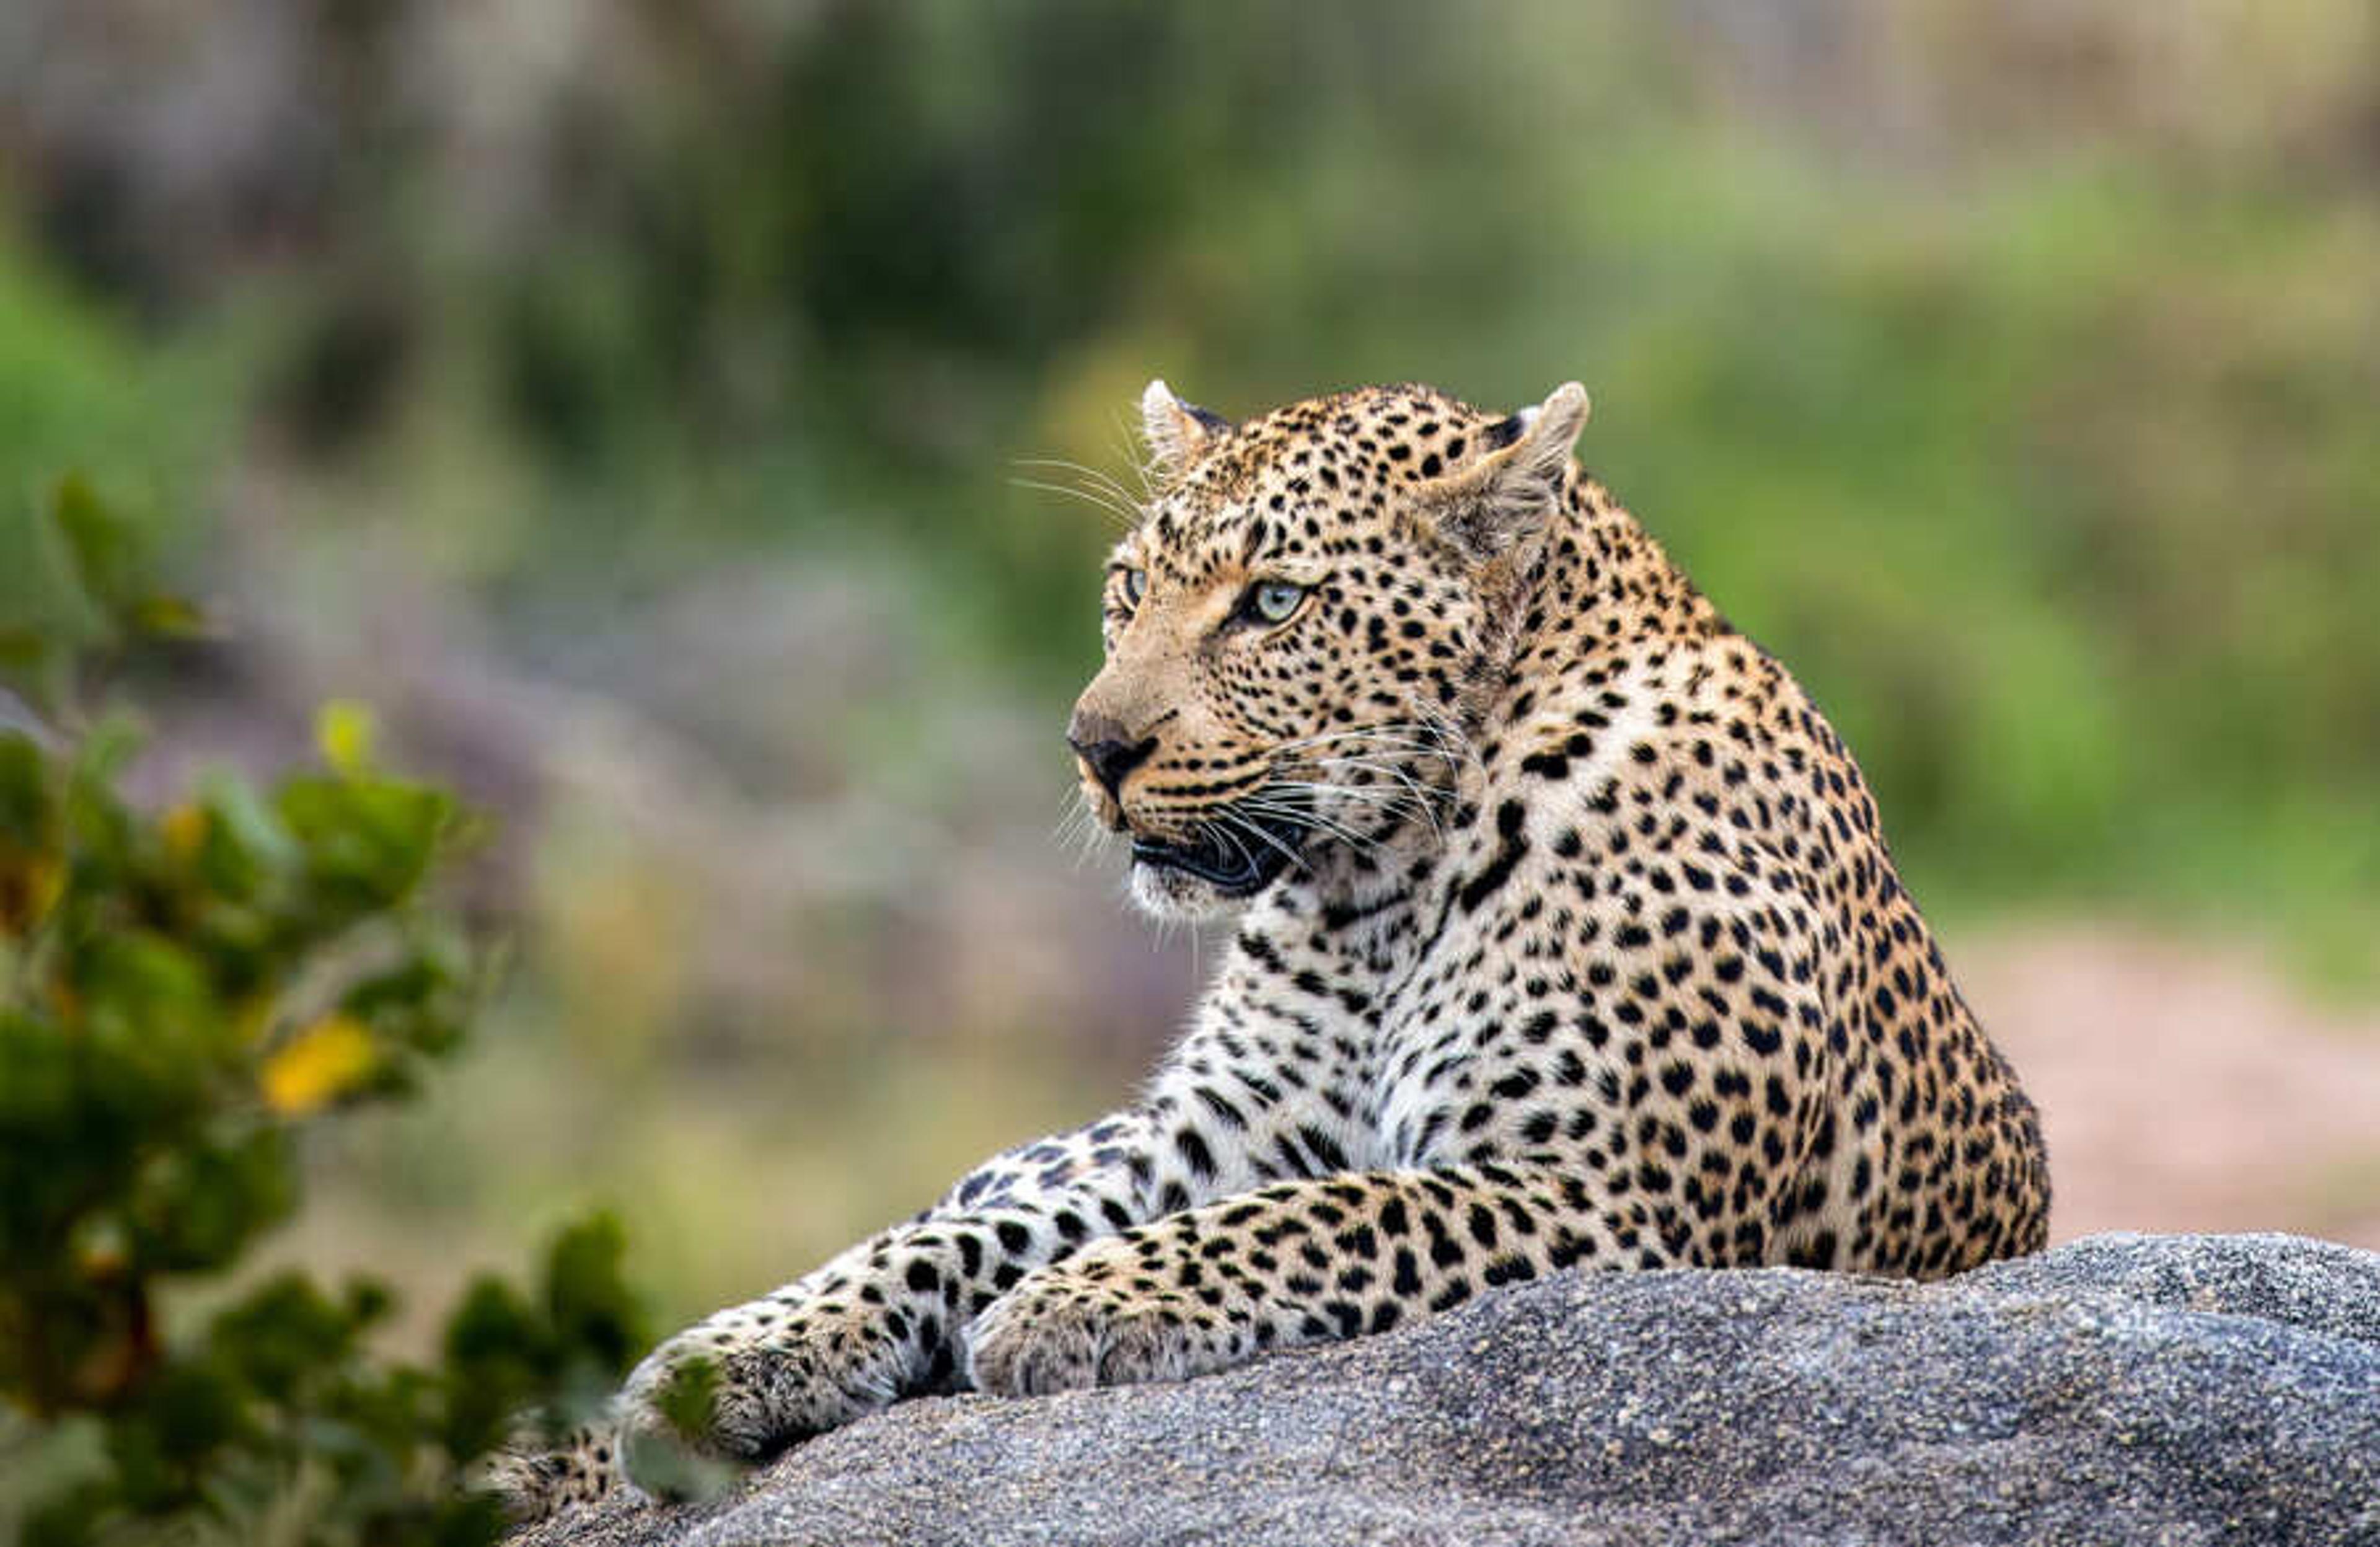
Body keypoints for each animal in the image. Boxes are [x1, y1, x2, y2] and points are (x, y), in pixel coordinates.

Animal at [500, 377, 2051, 1519]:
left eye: (1274, 603)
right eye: (1128, 587)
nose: (1096, 747)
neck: (1381, 884)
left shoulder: (1609, 1197)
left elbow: (1322, 1215)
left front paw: (1071, 1307)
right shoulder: (1208, 1135)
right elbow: (944, 1241)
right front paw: (728, 1364)